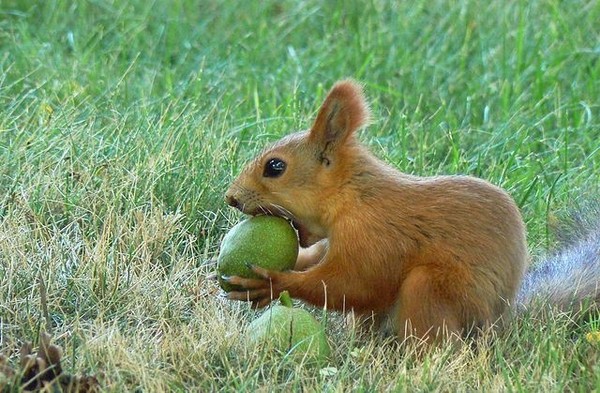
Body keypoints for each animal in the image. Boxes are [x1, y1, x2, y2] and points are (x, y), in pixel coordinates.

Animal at [224, 79, 600, 340]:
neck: (351, 195)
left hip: (436, 289)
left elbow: (353, 285)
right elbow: (320, 261)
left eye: (275, 167)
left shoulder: (372, 235)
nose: (232, 197)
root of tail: (498, 324)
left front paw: (273, 283)